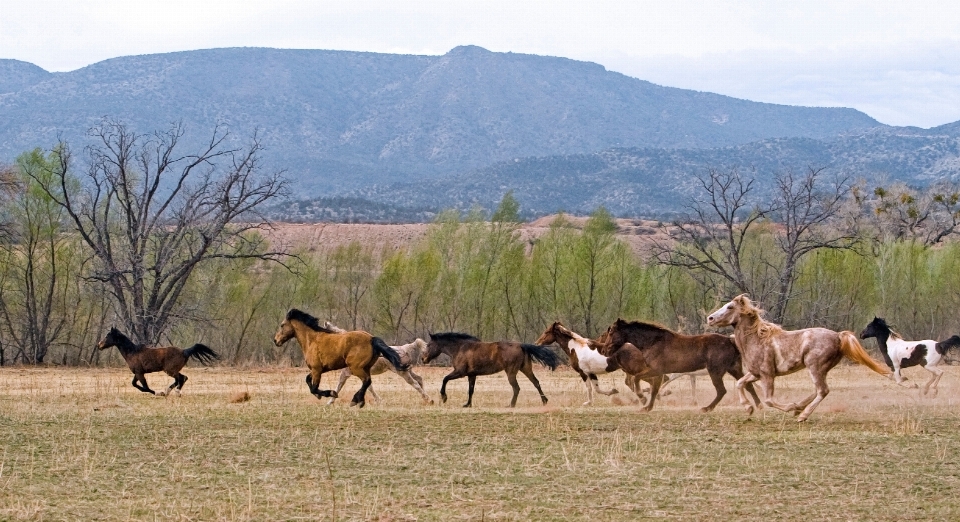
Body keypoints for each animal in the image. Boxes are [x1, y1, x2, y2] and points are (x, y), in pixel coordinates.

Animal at [272, 308, 406, 406]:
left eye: (282, 325)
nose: (276, 341)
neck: (312, 340)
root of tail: (372, 339)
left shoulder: (317, 370)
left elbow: (314, 388)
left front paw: (331, 393)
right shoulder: (319, 369)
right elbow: (308, 380)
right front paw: (321, 395)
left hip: (356, 368)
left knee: (366, 381)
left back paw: (355, 401)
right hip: (365, 368)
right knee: (367, 382)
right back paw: (359, 401)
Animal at [604, 316, 760, 410]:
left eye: (611, 332)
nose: (605, 350)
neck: (653, 342)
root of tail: (730, 340)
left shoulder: (655, 370)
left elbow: (638, 380)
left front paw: (642, 398)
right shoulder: (658, 373)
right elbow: (654, 390)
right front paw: (648, 406)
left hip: (715, 372)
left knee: (722, 390)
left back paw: (707, 408)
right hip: (734, 369)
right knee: (748, 385)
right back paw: (758, 405)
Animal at [704, 294, 892, 420]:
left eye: (730, 307)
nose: (710, 318)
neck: (757, 339)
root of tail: (838, 336)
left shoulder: (767, 375)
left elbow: (769, 400)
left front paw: (789, 406)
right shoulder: (755, 374)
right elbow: (740, 383)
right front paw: (748, 407)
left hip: (814, 367)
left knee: (822, 390)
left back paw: (802, 414)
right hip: (821, 369)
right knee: (818, 390)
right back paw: (800, 409)